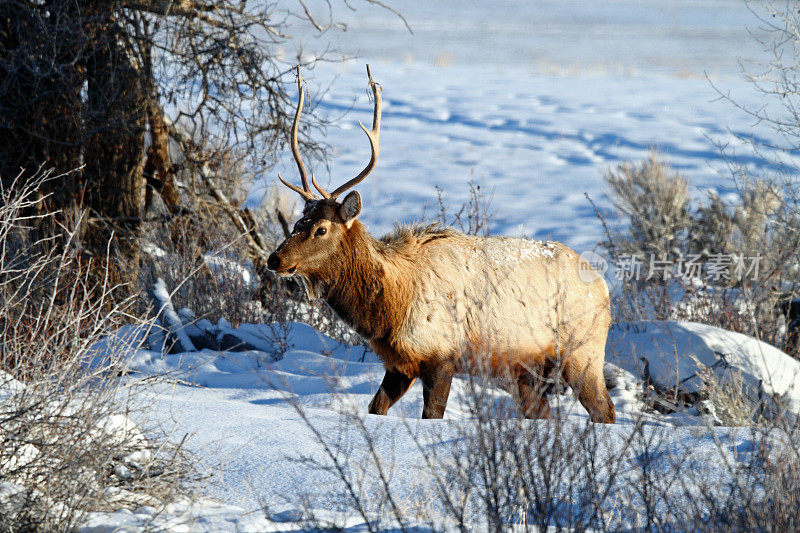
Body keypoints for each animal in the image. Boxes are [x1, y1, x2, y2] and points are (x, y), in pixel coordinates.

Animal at [270, 66, 620, 424]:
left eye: (321, 229)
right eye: (297, 223)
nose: (275, 259)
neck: (393, 307)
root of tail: (604, 284)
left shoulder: (442, 356)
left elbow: (431, 414)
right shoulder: (401, 362)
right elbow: (375, 407)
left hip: (584, 350)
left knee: (604, 408)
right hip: (527, 369)